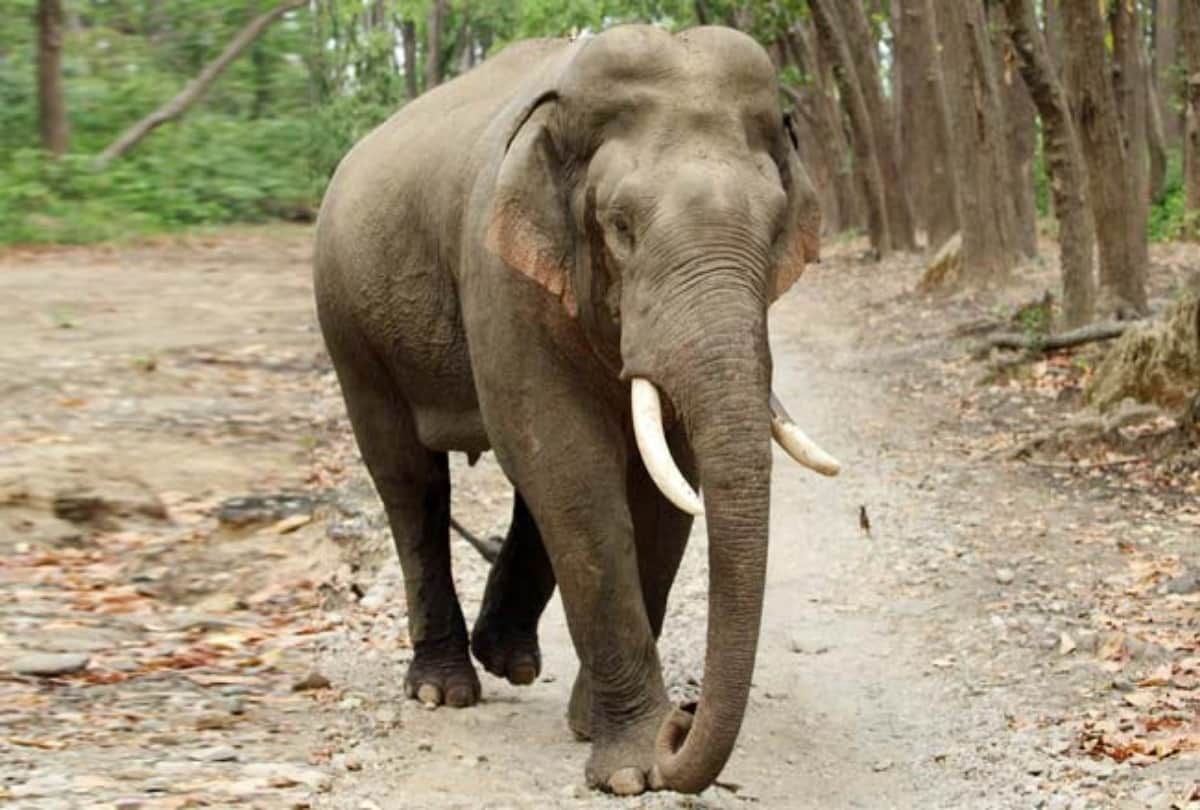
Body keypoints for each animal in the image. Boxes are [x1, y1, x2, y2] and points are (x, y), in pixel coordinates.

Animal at [313, 23, 840, 795]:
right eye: (620, 226)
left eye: (775, 228)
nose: (685, 720)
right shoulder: (500, 274)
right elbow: (572, 466)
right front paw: (632, 768)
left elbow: (658, 486)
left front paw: (604, 734)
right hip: (350, 326)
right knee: (411, 483)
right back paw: (444, 688)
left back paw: (509, 660)